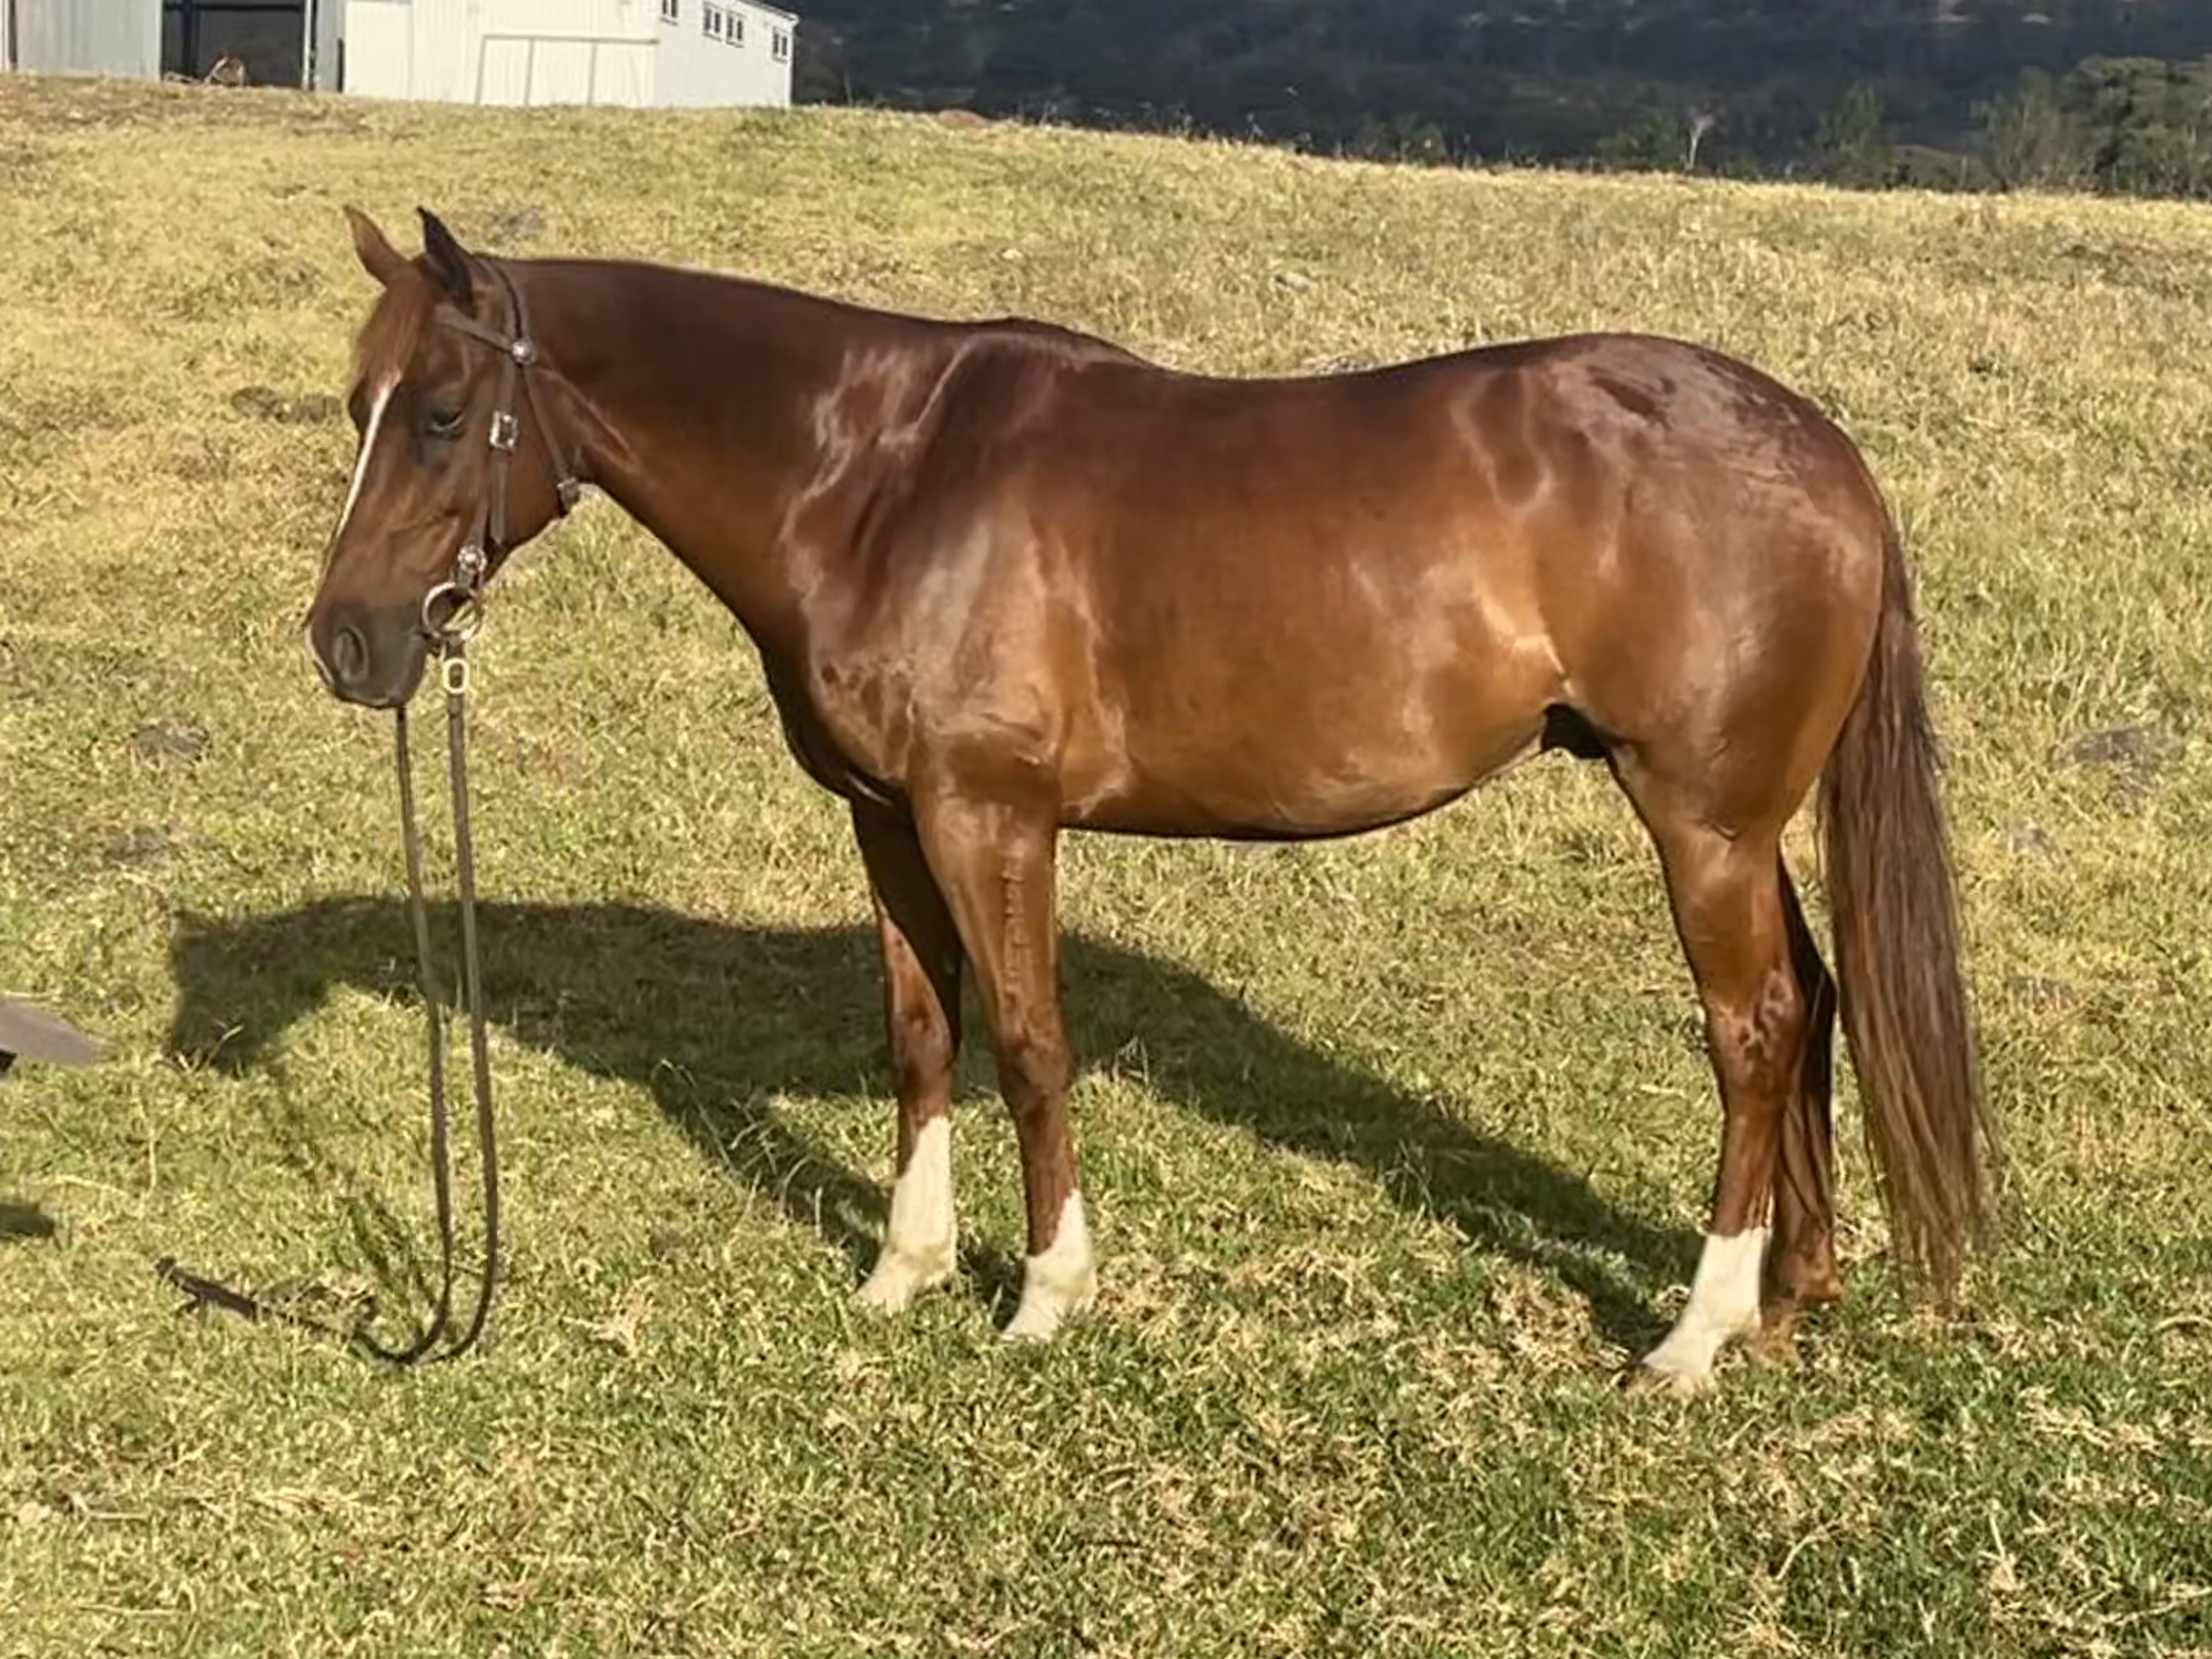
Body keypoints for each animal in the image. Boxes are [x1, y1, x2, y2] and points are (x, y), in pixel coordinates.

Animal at [305, 207, 1993, 1390]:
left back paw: (1695, 1333)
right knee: (1815, 1004)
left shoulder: (991, 819)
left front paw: (1047, 1295)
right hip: (1743, 828)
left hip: (1700, 820)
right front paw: (906, 1271)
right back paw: (1791, 1294)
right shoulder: (886, 817)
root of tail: (1827, 456)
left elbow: (1032, 1046)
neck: (879, 476)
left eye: (442, 413)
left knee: (1755, 1030)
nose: (346, 643)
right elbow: (926, 1036)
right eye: (355, 403)